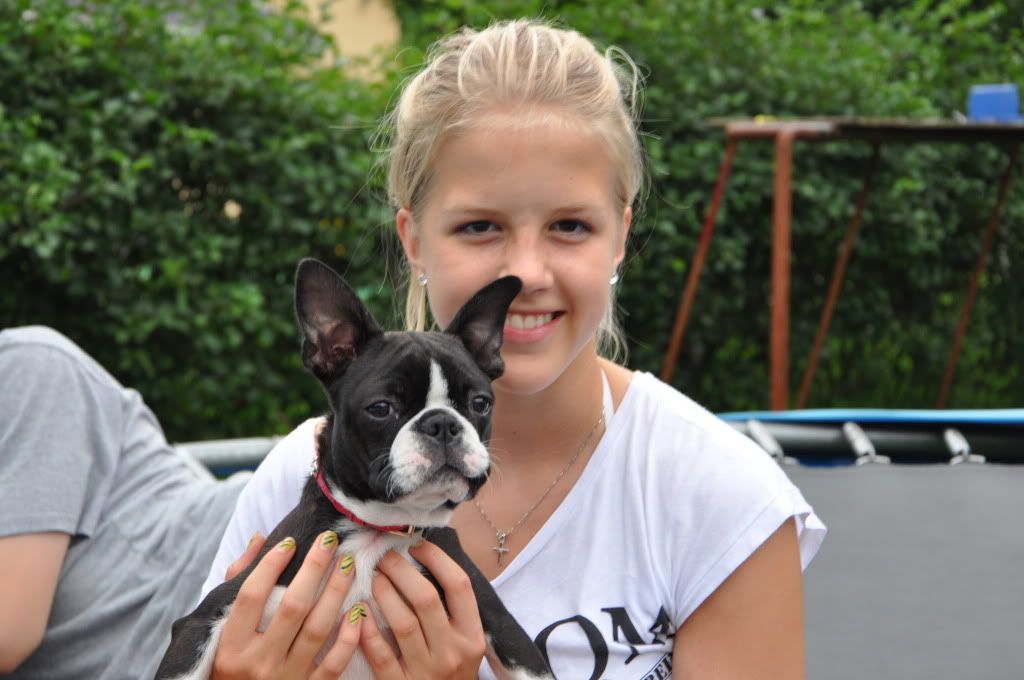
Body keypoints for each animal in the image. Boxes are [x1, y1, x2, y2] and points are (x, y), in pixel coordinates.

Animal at [156, 259, 554, 679]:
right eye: (381, 408)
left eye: (480, 403)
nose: (443, 423)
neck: (377, 531)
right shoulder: (206, 617)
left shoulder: (498, 621)